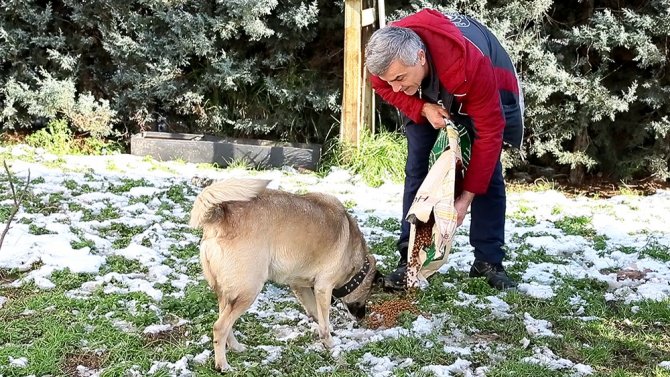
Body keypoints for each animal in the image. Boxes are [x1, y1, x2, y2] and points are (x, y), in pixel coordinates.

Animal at [190, 177, 378, 370]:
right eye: (367, 294)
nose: (362, 317)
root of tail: (220, 215)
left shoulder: (301, 286)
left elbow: (316, 313)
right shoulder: (323, 287)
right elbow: (325, 320)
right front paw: (330, 343)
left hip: (227, 294)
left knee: (225, 322)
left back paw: (235, 347)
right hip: (248, 291)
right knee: (220, 327)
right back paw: (223, 365)